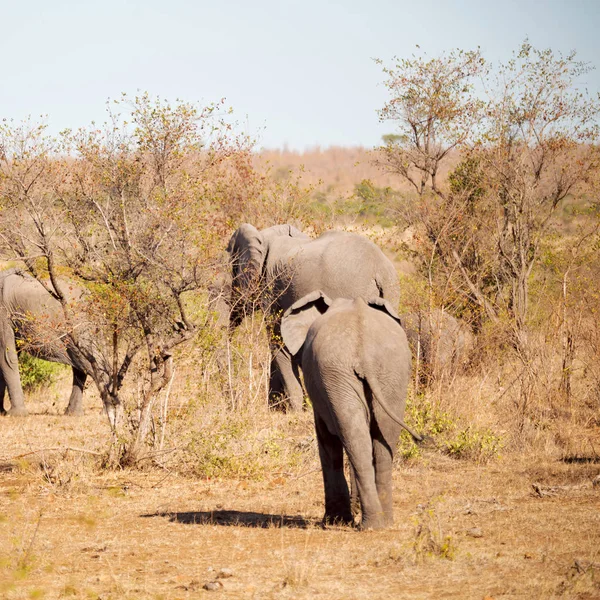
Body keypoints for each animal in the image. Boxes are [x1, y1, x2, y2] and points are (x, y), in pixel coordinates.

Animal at [278, 292, 420, 528]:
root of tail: (364, 353)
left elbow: (326, 439)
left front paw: (334, 521)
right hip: (388, 372)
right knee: (380, 439)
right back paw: (382, 523)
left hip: (342, 373)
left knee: (355, 437)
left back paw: (370, 524)